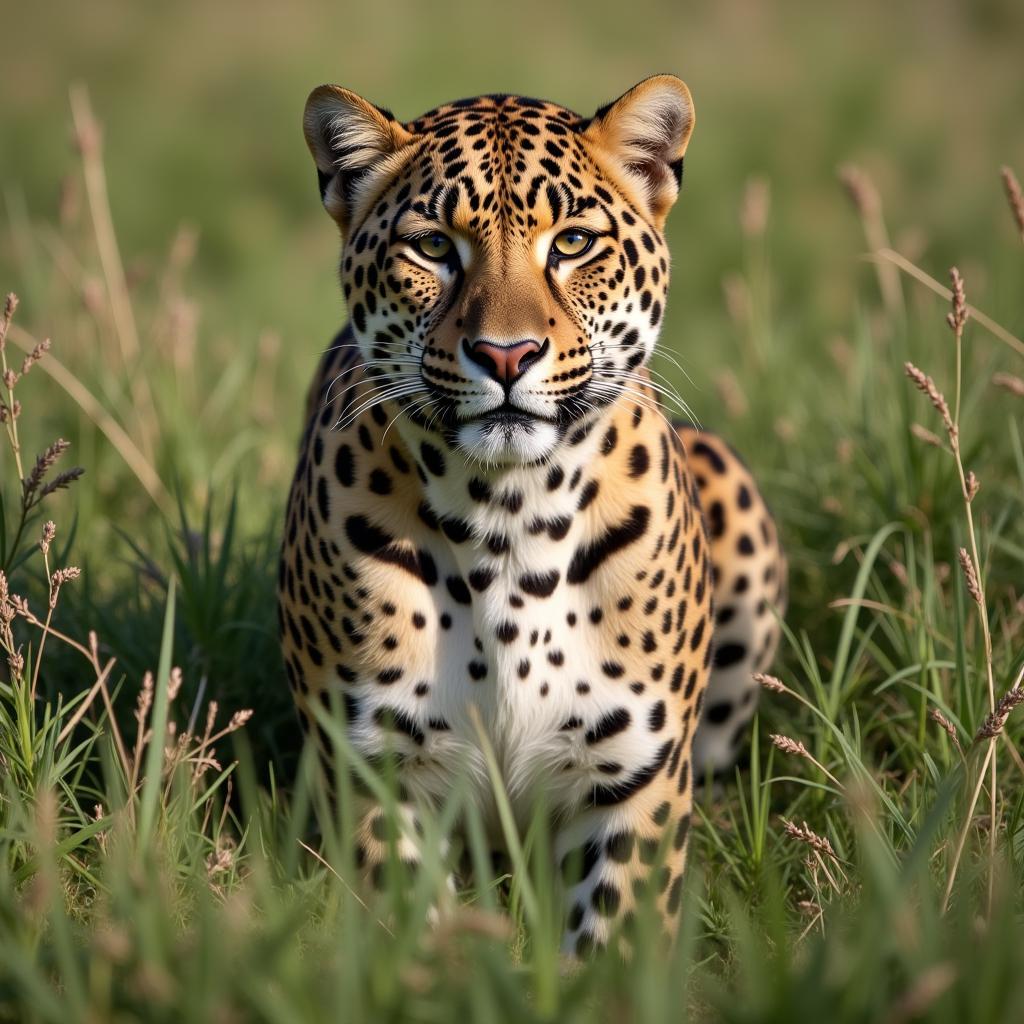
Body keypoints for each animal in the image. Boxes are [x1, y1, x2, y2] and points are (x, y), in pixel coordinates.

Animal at [276, 75, 786, 954]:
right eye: (433, 247)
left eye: (574, 243)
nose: (506, 354)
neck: (507, 514)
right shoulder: (378, 770)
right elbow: (412, 938)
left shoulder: (636, 776)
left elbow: (618, 941)